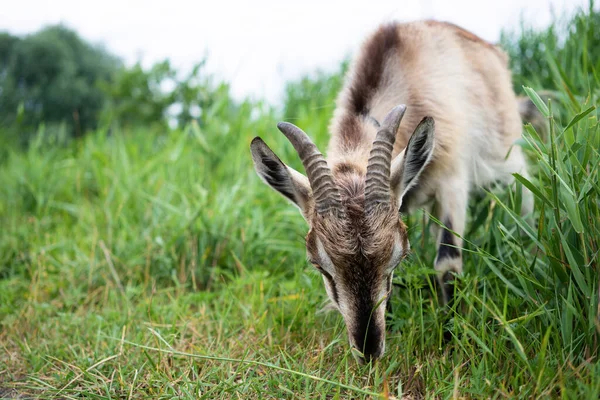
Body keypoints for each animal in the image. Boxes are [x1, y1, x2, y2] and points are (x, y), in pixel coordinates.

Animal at [251, 20, 532, 362]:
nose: (369, 350)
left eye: (400, 256)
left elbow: (448, 262)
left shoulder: (452, 180)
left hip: (507, 155)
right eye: (319, 265)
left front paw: (450, 338)